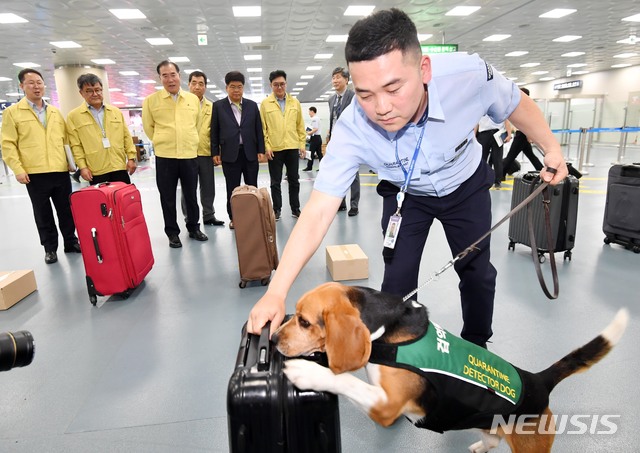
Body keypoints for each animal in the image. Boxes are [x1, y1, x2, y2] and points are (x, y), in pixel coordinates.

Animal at [272, 280, 628, 450]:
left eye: (304, 322)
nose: (273, 338)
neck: (387, 329)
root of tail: (539, 381)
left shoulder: (385, 406)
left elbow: (345, 380)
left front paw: (309, 372)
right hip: (489, 423)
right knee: (493, 439)